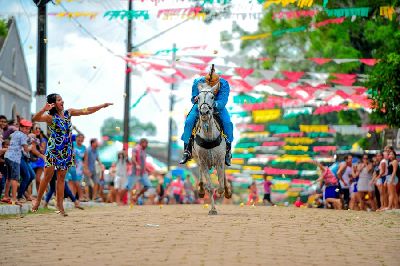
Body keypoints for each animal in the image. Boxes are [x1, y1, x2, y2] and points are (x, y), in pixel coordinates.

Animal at [193, 81, 233, 214]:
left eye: (212, 97)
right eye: (198, 98)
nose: (204, 112)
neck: (209, 137)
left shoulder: (220, 160)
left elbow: (220, 184)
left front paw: (223, 192)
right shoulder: (203, 161)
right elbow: (210, 187)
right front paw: (213, 209)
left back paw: (227, 191)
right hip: (197, 158)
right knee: (200, 172)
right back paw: (201, 190)